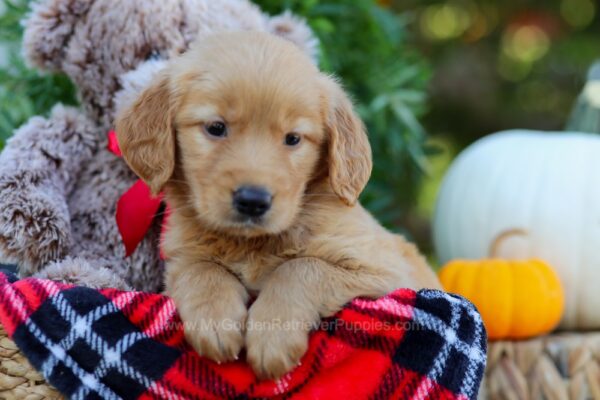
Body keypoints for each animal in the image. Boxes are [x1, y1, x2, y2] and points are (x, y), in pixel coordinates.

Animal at [116, 32, 440, 380]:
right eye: (216, 128)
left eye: (293, 139)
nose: (253, 201)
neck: (252, 243)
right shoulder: (181, 258)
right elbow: (201, 269)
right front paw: (215, 322)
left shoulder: (384, 272)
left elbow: (299, 267)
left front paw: (273, 336)